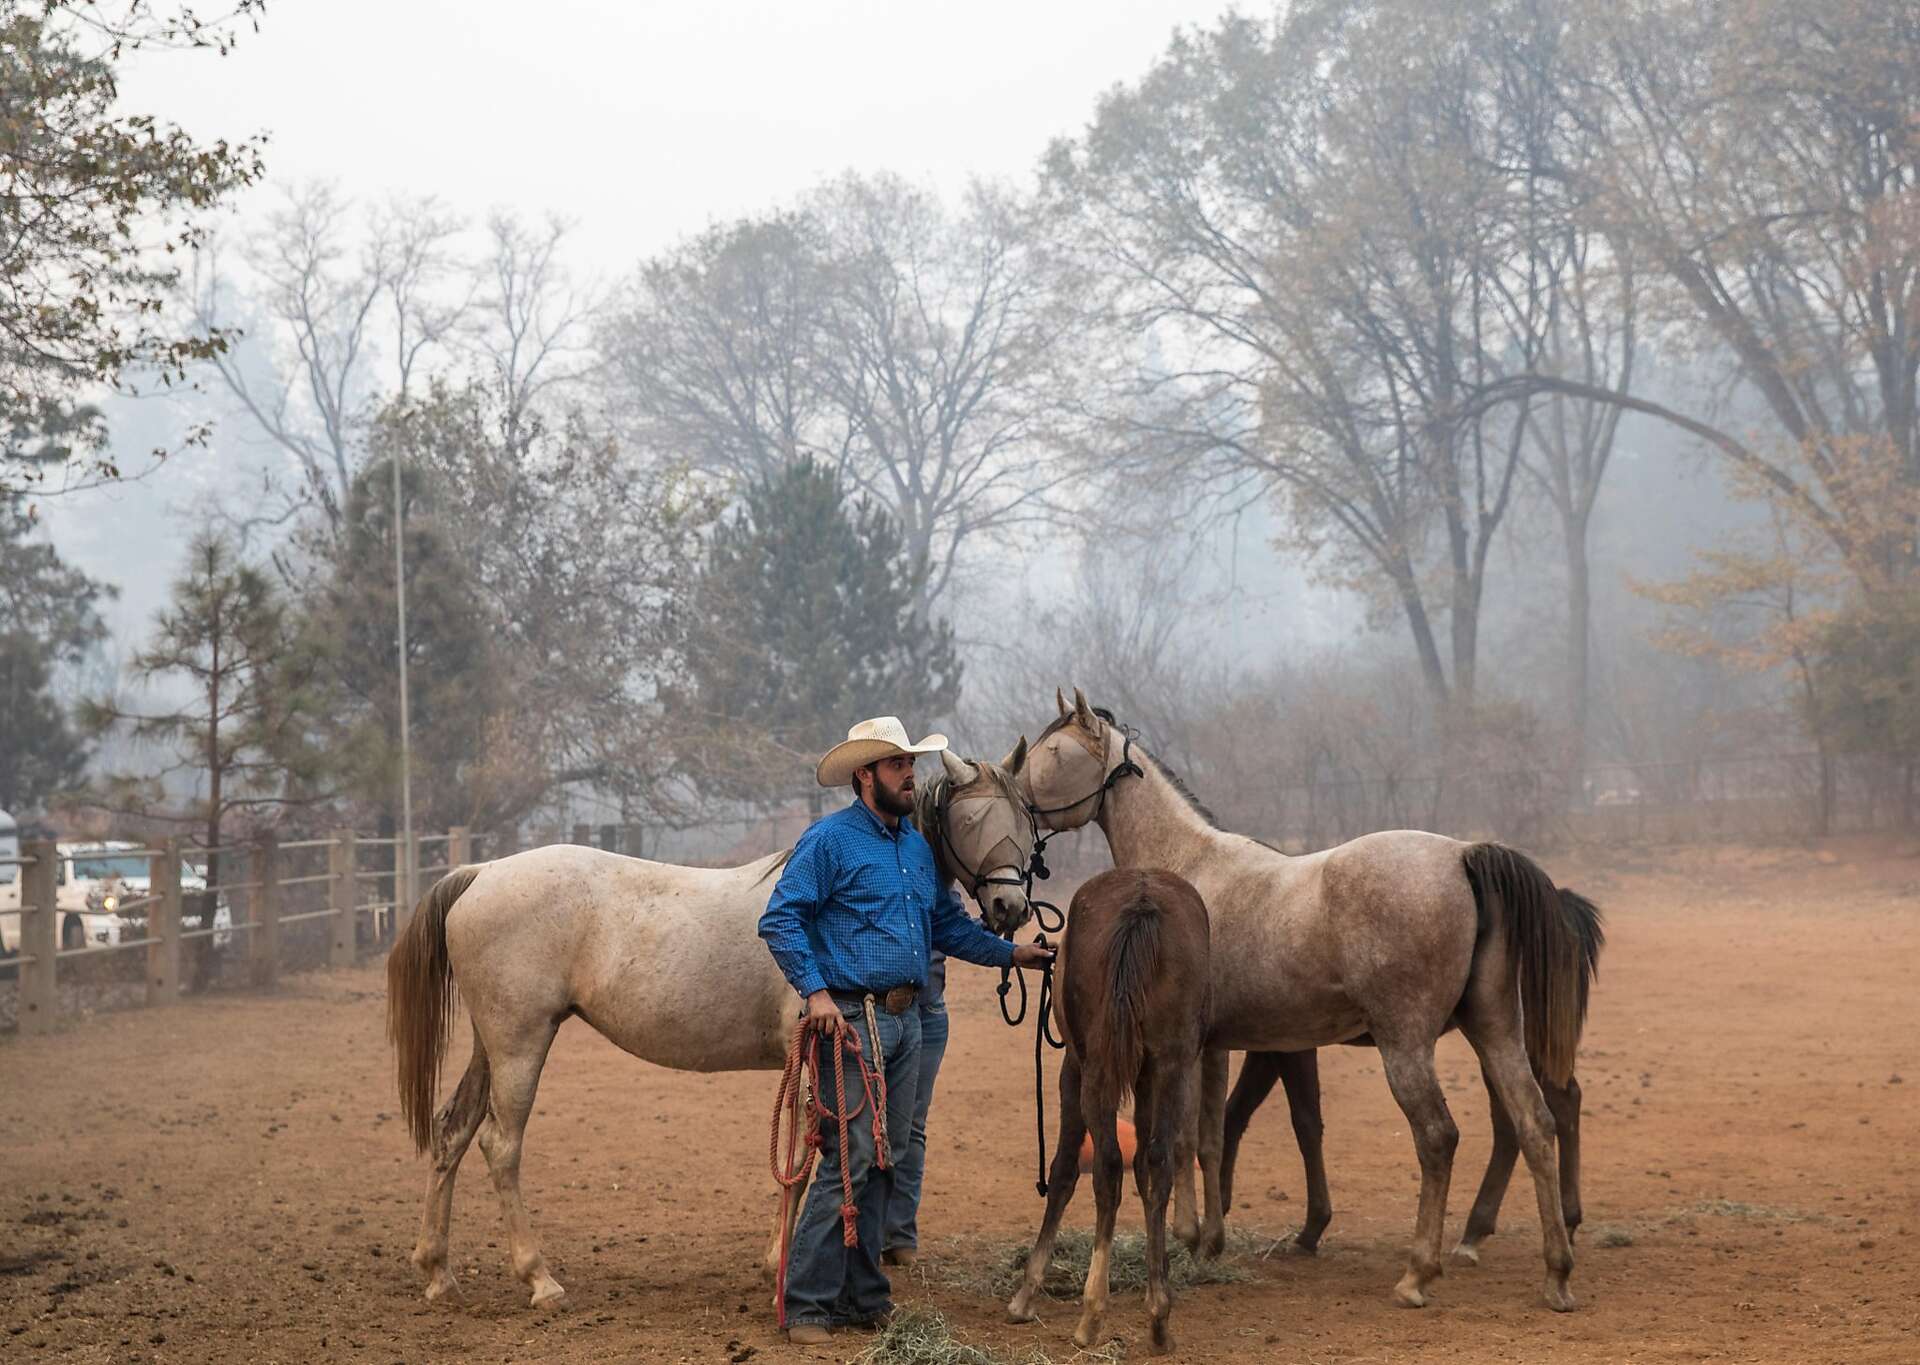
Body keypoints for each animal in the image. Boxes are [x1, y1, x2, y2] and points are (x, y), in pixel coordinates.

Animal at [384, 749, 1037, 1308]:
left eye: (1024, 819)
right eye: (972, 817)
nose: (1011, 909)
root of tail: (482, 872)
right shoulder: (818, 1057)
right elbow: (806, 1159)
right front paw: (782, 1265)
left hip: (489, 1046)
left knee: (452, 1131)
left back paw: (438, 1272)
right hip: (520, 1044)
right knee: (500, 1145)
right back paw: (539, 1279)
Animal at [1003, 868, 1211, 1356]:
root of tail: (1142, 904)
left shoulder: (1072, 1070)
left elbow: (1064, 1170)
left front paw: (1026, 1295)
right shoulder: (1149, 1075)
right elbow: (1148, 1170)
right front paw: (1160, 1284)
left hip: (1095, 1071)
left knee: (1108, 1167)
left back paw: (1092, 1313)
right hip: (1171, 1065)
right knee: (1157, 1161)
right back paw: (1158, 1320)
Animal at [1218, 877, 1603, 1264]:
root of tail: (1562, 907)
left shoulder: (1288, 1046)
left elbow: (1302, 1122)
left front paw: (1309, 1226)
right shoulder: (1271, 1044)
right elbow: (1238, 1112)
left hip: (1523, 1038)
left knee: (1551, 1105)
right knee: (1532, 1114)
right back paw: (1506, 1228)